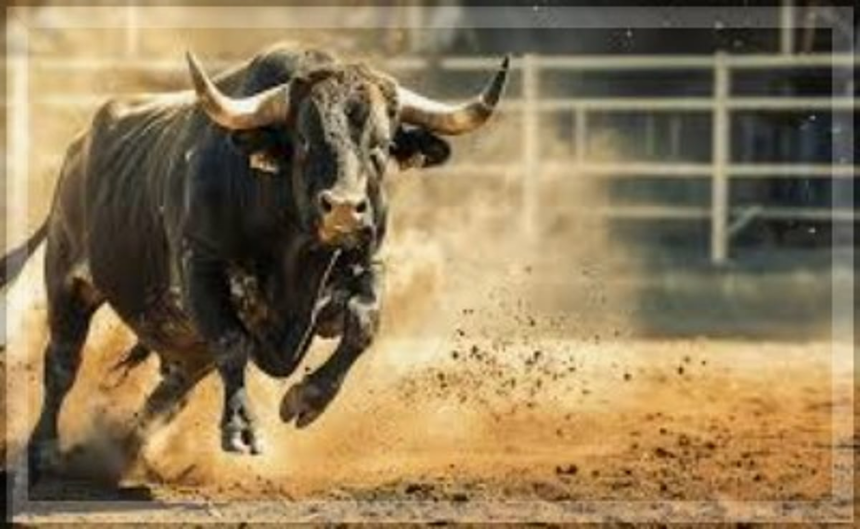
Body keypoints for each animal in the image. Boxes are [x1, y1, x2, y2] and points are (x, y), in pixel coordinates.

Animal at [1, 43, 508, 477]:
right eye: (304, 141)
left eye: (380, 146)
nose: (344, 209)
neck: (293, 248)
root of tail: (78, 149)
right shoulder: (201, 270)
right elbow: (233, 343)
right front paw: (242, 430)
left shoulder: (366, 265)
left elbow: (364, 323)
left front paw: (308, 398)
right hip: (67, 280)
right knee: (62, 363)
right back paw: (44, 451)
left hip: (180, 341)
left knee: (171, 390)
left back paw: (129, 445)